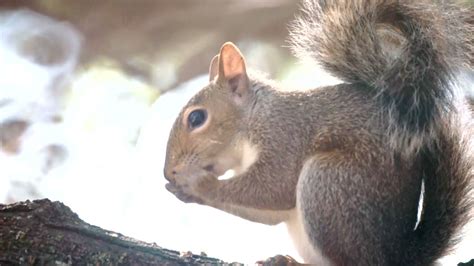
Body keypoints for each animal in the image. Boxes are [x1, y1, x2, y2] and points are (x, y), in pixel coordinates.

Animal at [164, 0, 474, 264]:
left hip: (329, 183)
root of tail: (399, 255)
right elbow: (271, 209)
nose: (169, 172)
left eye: (197, 118)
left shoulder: (285, 135)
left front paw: (196, 184)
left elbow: (273, 187)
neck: (255, 117)